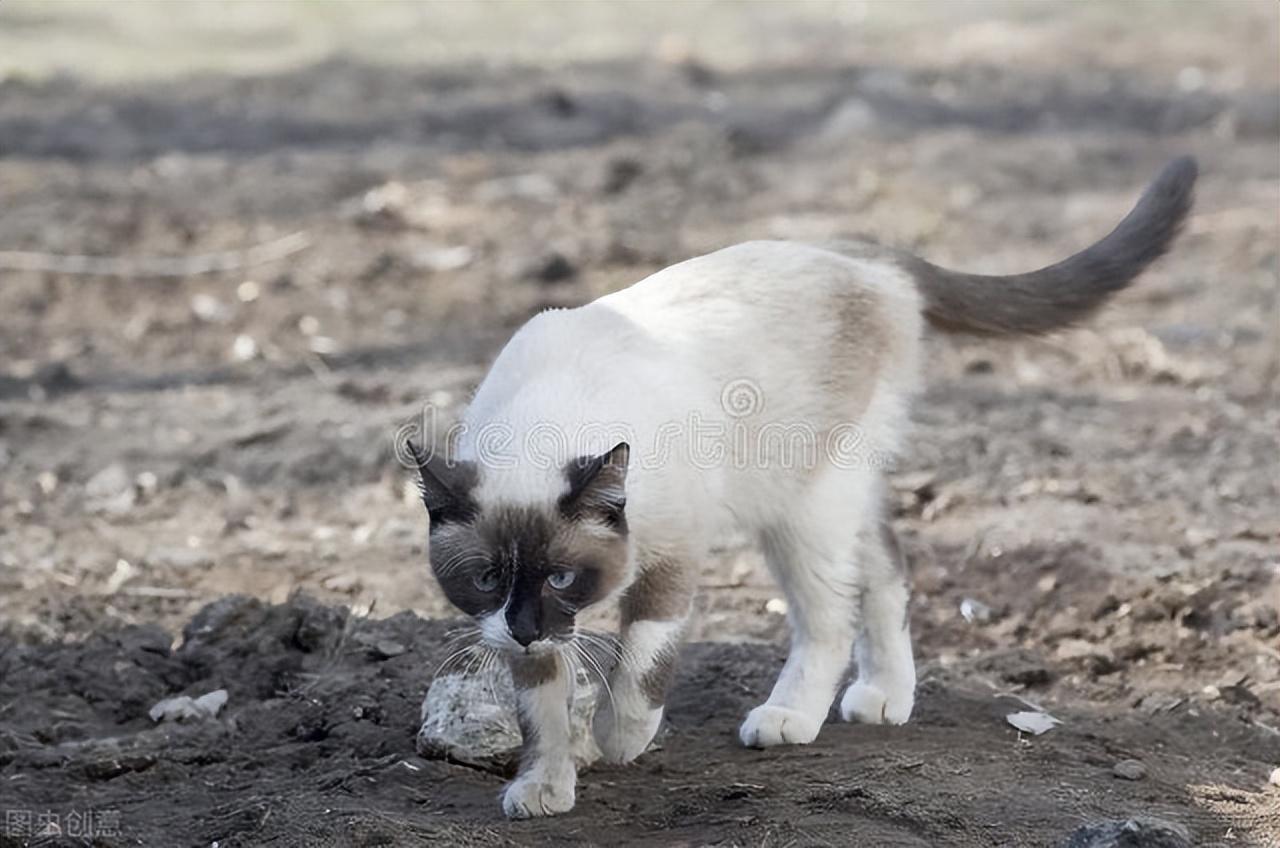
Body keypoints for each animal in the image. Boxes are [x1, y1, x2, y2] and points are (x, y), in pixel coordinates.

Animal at [409, 156, 1198, 819]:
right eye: (486, 579)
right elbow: (541, 708)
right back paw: (884, 697)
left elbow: (641, 666)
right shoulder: (524, 632)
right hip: (831, 489)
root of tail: (858, 251)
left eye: (564, 576)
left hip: (804, 504)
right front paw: (545, 787)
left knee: (831, 615)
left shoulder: (669, 561)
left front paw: (617, 739)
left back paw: (790, 717)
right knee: (885, 566)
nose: (525, 626)